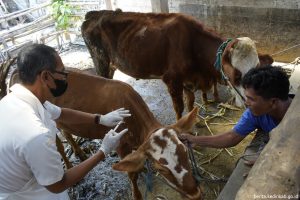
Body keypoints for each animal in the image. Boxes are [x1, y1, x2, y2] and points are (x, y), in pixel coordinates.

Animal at [81, 10, 272, 119]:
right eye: (237, 75)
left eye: (256, 69)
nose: (250, 103)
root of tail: (93, 14)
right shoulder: (172, 80)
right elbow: (179, 108)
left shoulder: (189, 80)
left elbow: (191, 104)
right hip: (101, 62)